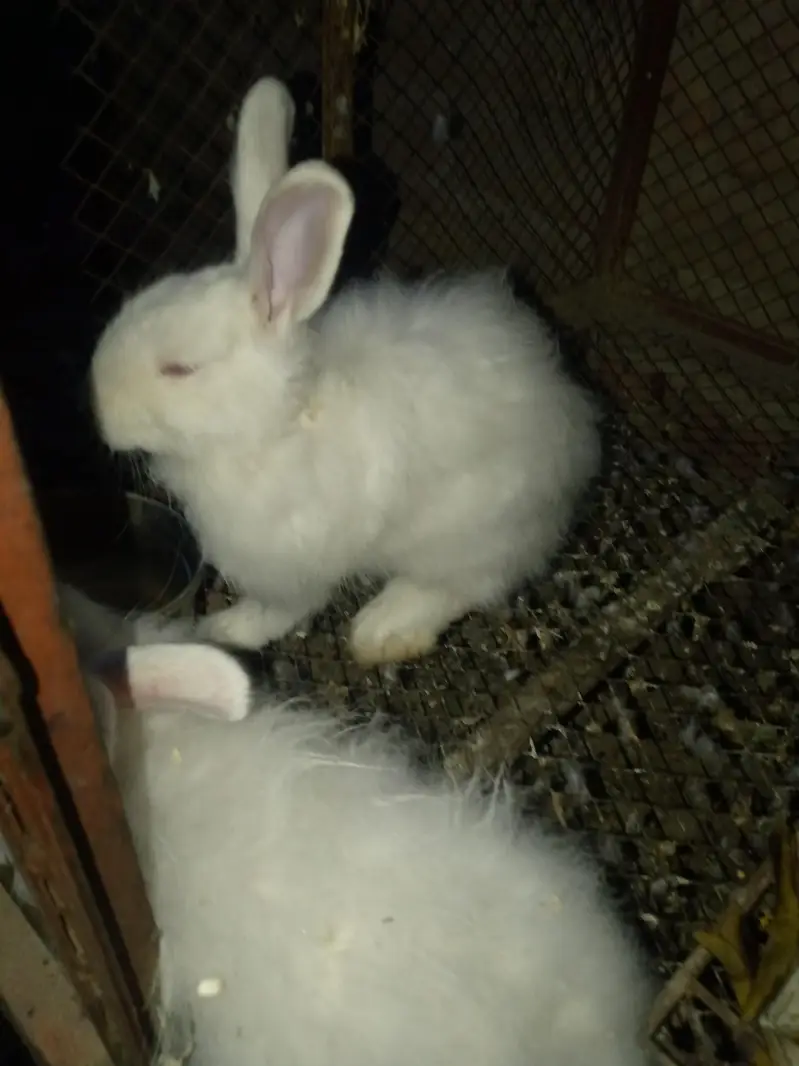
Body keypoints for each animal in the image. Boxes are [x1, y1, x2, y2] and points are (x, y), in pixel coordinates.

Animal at [90, 75, 602, 666]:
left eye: (179, 368)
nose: (99, 411)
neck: (274, 426)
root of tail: (574, 425)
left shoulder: (291, 565)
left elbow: (281, 610)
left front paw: (226, 629)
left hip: (468, 534)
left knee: (465, 584)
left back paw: (383, 627)